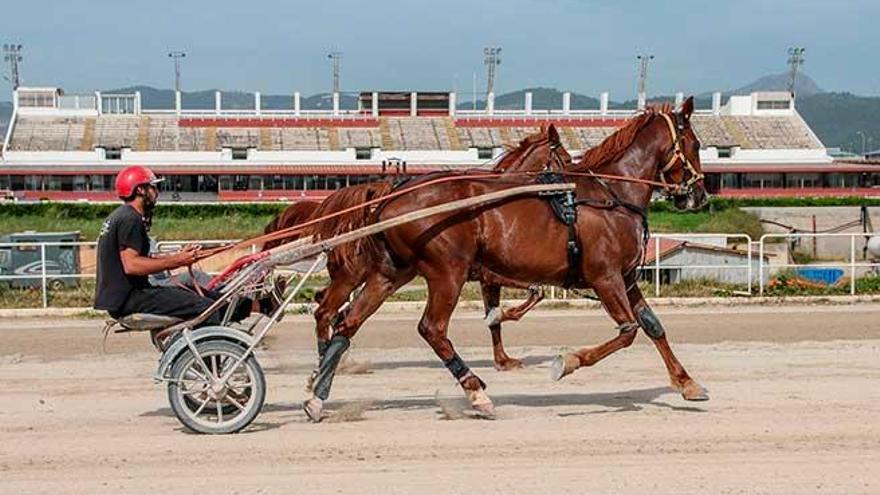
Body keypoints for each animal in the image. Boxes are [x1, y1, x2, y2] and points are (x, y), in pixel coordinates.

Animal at [302, 98, 708, 422]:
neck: (611, 193)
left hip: (392, 272)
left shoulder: (625, 277)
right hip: (447, 272)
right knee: (430, 328)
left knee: (346, 323)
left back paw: (317, 394)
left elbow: (653, 327)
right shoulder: (604, 276)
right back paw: (476, 391)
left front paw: (688, 383)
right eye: (695, 144)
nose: (700, 195)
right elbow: (627, 331)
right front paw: (566, 362)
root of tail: (391, 196)